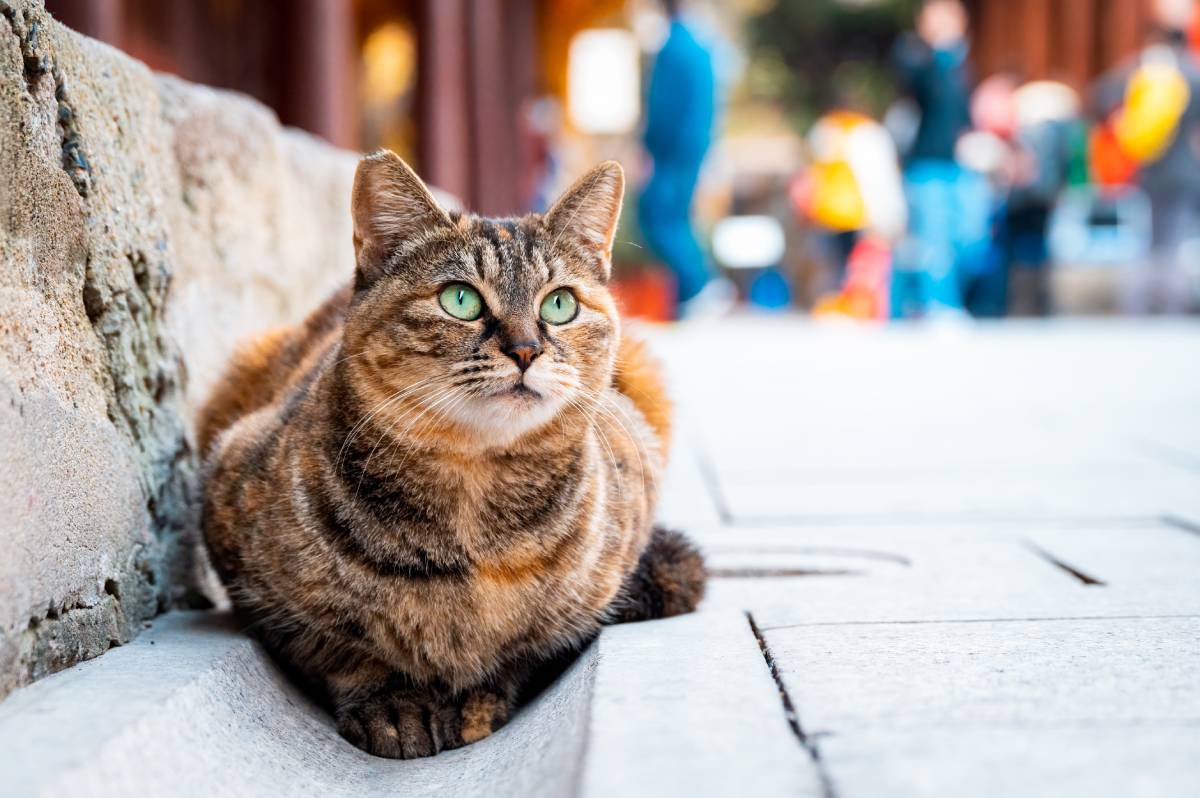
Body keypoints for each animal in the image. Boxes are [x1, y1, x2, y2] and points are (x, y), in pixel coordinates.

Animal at [195, 151, 700, 758]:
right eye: (460, 299)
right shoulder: (235, 530)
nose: (526, 349)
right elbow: (339, 647)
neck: (470, 508)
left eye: (560, 304)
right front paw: (396, 701)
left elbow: (524, 650)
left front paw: (475, 699)